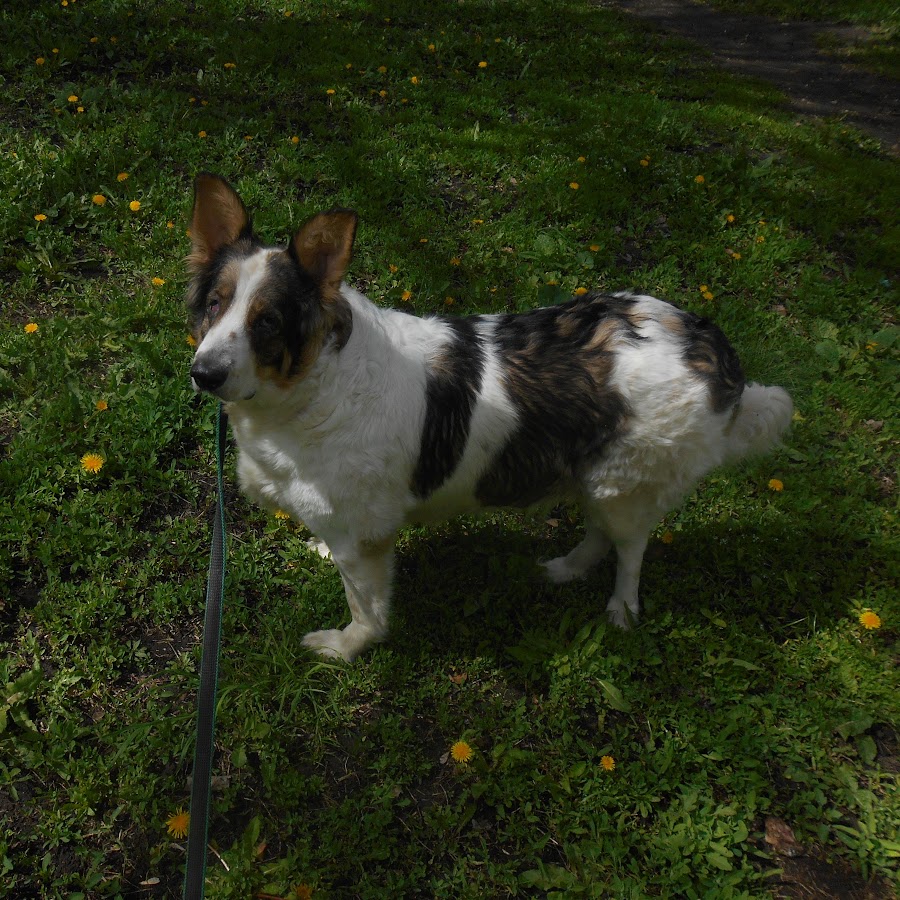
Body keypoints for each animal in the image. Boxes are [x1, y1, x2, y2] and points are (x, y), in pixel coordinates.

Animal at [187, 173, 793, 661]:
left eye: (268, 321)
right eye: (215, 304)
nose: (204, 373)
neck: (314, 384)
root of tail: (709, 344)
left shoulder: (366, 541)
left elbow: (367, 611)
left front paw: (345, 649)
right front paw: (319, 550)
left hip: (624, 484)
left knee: (631, 548)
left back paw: (621, 608)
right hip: (599, 476)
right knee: (601, 534)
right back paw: (566, 570)